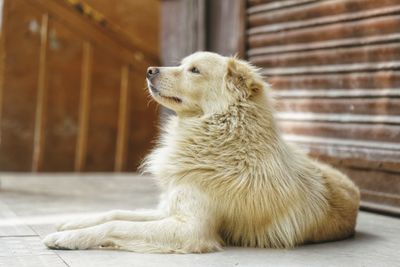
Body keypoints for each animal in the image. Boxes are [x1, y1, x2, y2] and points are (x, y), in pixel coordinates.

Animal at [43, 51, 360, 253]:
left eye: (195, 70)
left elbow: (116, 225)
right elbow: (116, 213)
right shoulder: (170, 207)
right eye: (183, 64)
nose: (149, 70)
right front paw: (72, 222)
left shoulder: (191, 229)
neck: (219, 134)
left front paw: (69, 237)